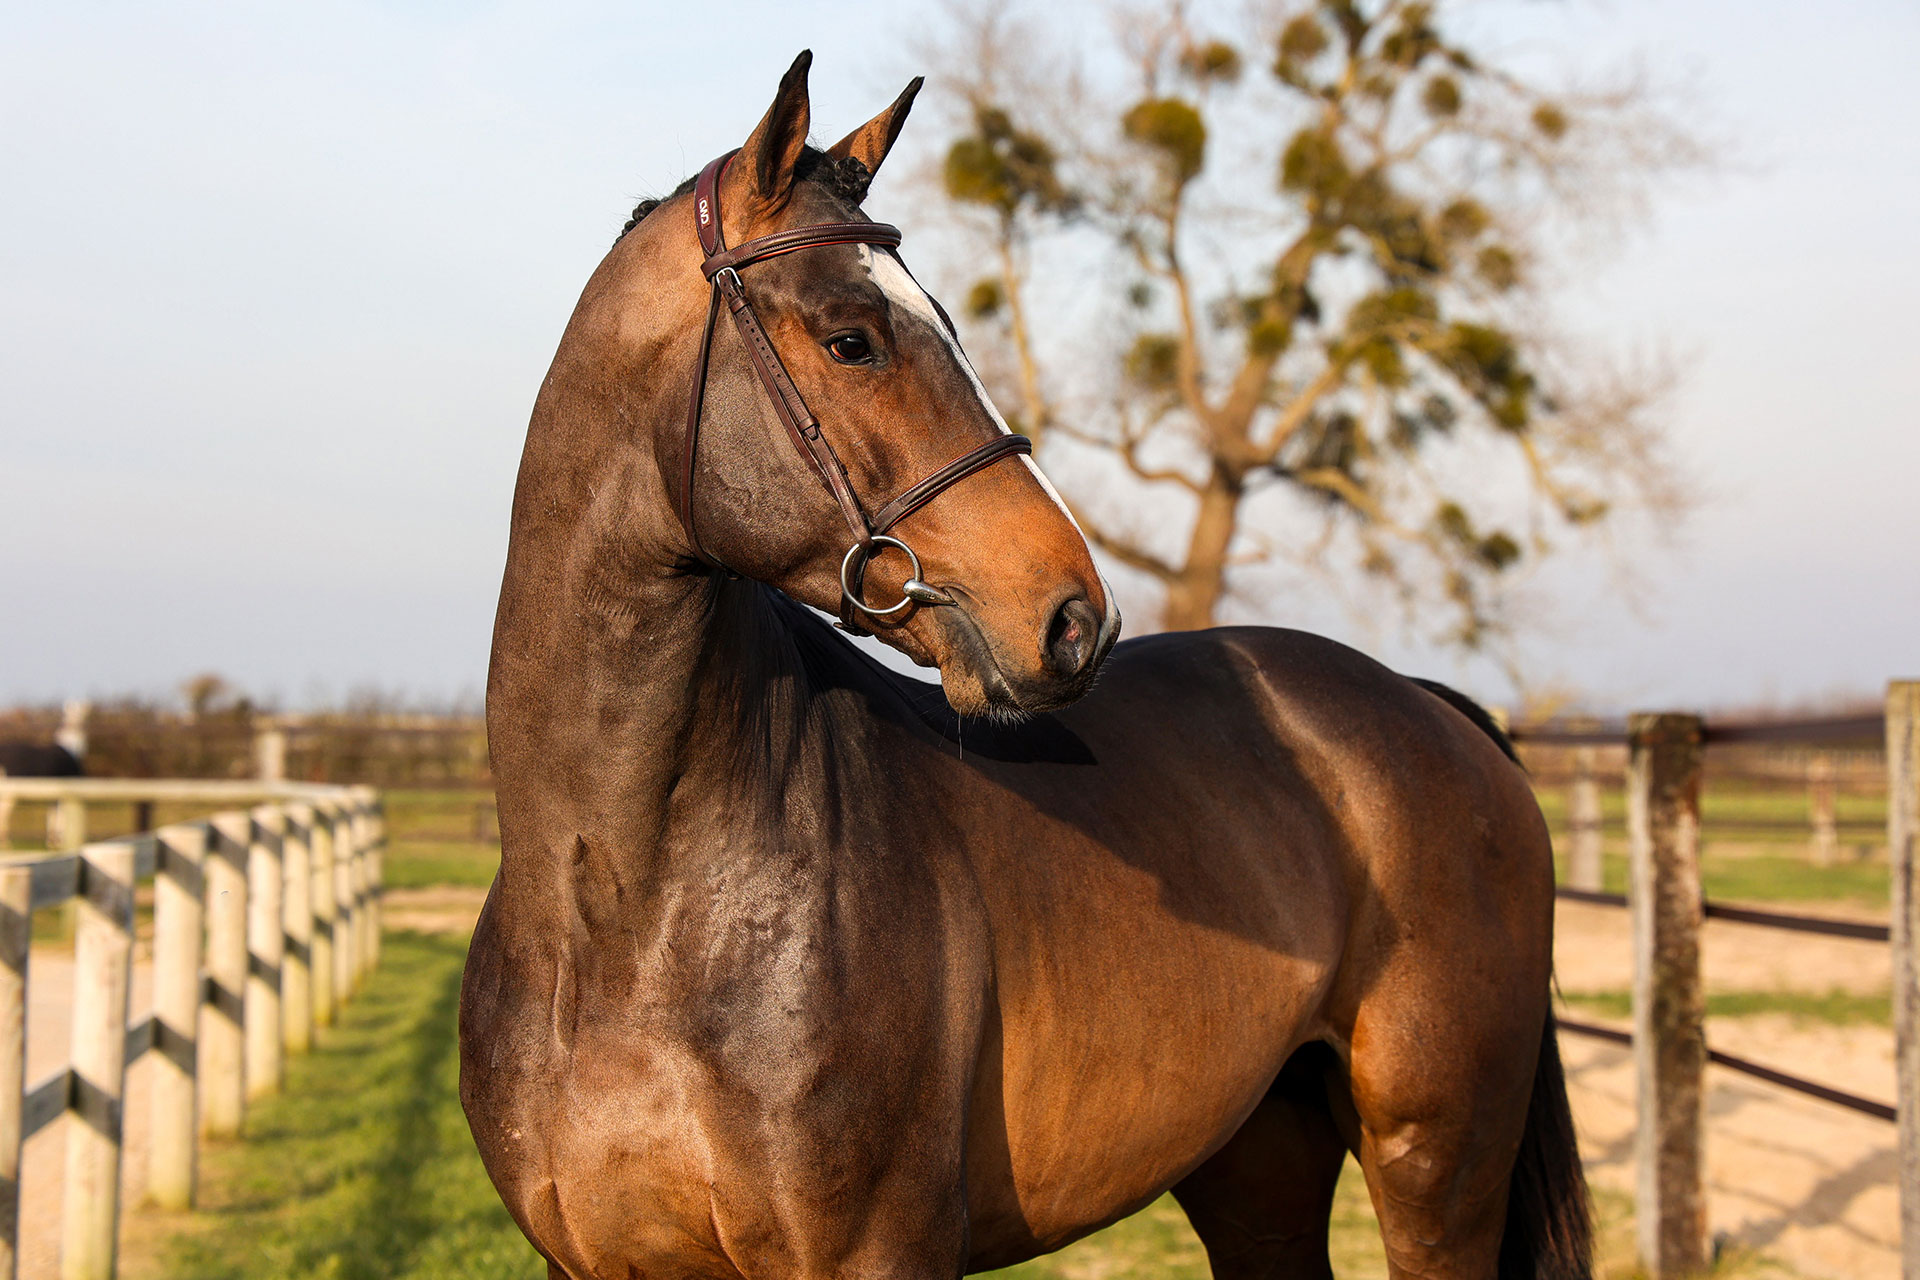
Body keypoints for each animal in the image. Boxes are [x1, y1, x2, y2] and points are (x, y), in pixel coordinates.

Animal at [464, 52, 1589, 1280]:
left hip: (1438, 1163)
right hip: (1261, 1165)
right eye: (852, 338)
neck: (623, 914)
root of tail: (1431, 710)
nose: (1075, 617)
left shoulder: (878, 1252)